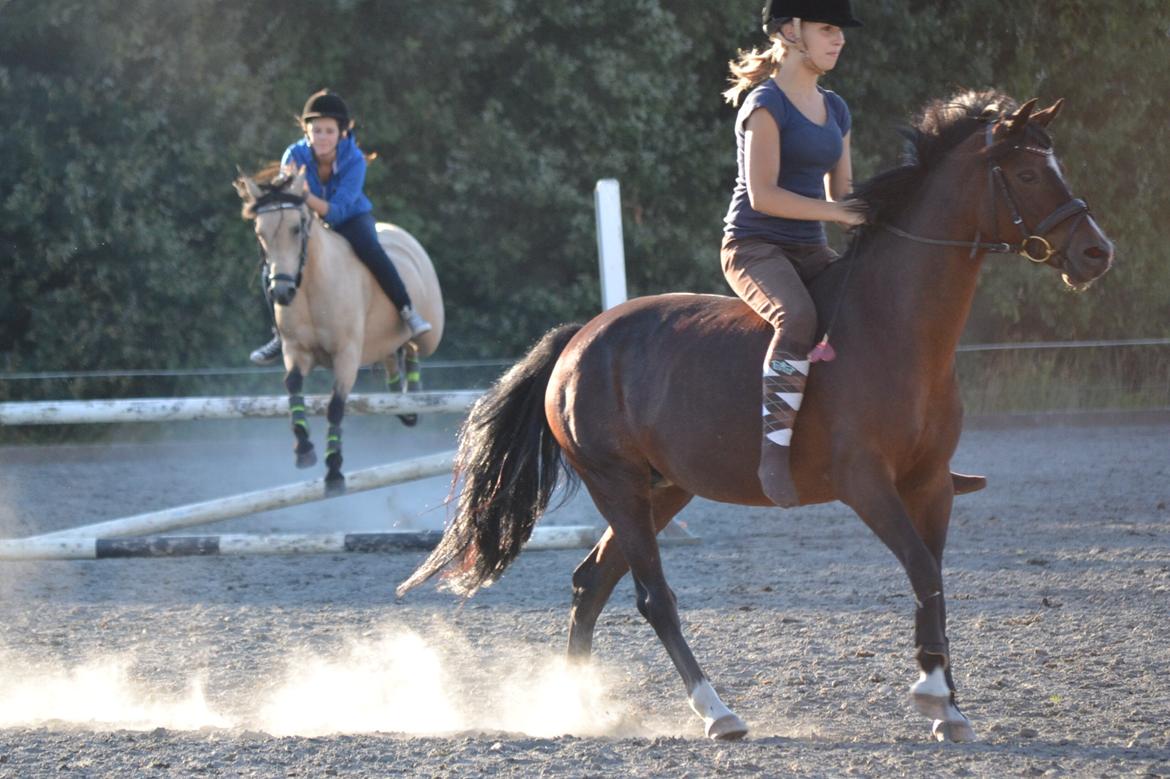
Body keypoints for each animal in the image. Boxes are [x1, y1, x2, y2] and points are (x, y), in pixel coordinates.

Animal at [232, 167, 442, 493]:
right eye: (259, 233)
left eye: (296, 228)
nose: (282, 292)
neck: (310, 285)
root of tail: (400, 233)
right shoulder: (297, 351)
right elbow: (293, 384)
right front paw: (304, 449)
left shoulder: (346, 355)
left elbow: (335, 406)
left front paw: (333, 469)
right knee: (392, 354)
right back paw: (402, 399)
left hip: (431, 333)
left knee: (414, 345)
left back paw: (414, 388)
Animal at [397, 91, 1109, 739]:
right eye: (1027, 175)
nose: (1097, 253)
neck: (897, 328)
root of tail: (579, 338)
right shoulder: (866, 484)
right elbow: (922, 570)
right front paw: (934, 695)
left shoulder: (930, 484)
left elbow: (929, 579)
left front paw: (948, 706)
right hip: (617, 484)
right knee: (651, 596)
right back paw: (716, 712)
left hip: (664, 489)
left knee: (590, 582)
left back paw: (579, 710)